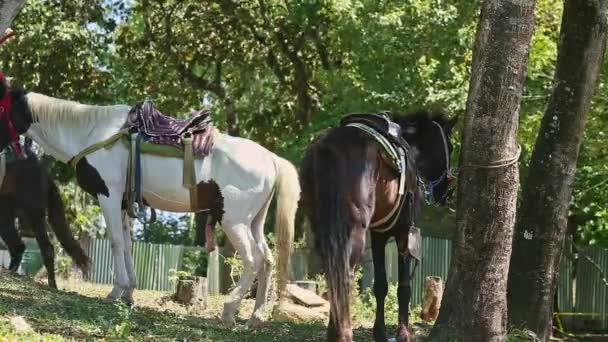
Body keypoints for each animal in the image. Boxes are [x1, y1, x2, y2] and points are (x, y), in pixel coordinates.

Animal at [0, 144, 90, 288]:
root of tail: (45, 174)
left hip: (33, 213)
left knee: (46, 248)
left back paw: (52, 284)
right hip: (7, 213)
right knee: (18, 246)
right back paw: (10, 272)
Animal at [300, 111, 456, 340]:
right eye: (450, 147)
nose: (445, 193)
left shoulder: (378, 234)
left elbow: (380, 285)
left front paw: (380, 333)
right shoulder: (404, 232)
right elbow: (404, 287)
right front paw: (403, 334)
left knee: (332, 276)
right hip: (354, 231)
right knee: (345, 276)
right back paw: (344, 333)